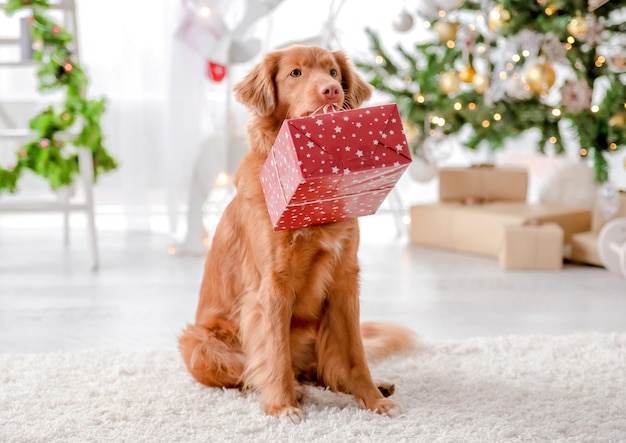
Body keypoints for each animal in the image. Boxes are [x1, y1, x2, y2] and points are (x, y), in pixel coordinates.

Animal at [178, 45, 416, 424]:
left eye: (333, 73)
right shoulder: (273, 288)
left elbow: (356, 354)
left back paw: (372, 385)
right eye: (295, 73)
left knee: (327, 370)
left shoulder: (344, 282)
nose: (331, 91)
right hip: (198, 342)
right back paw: (295, 389)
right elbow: (274, 354)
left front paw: (372, 400)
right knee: (253, 372)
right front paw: (282, 406)